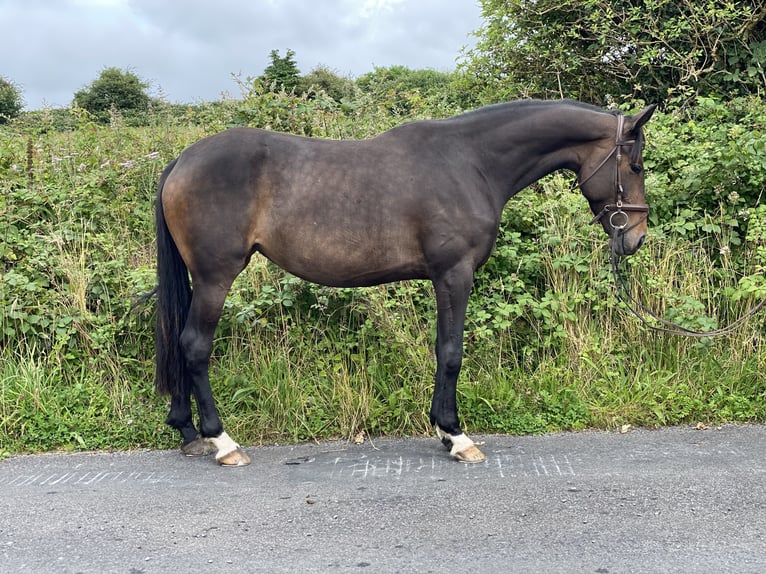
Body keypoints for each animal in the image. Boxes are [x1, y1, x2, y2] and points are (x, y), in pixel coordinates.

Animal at [153, 99, 656, 468]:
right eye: (635, 166)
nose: (635, 237)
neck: (469, 162)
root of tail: (182, 160)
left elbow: (442, 349)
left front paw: (443, 430)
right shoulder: (454, 273)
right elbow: (450, 351)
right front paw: (455, 435)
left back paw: (188, 432)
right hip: (216, 277)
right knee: (194, 345)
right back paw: (223, 443)